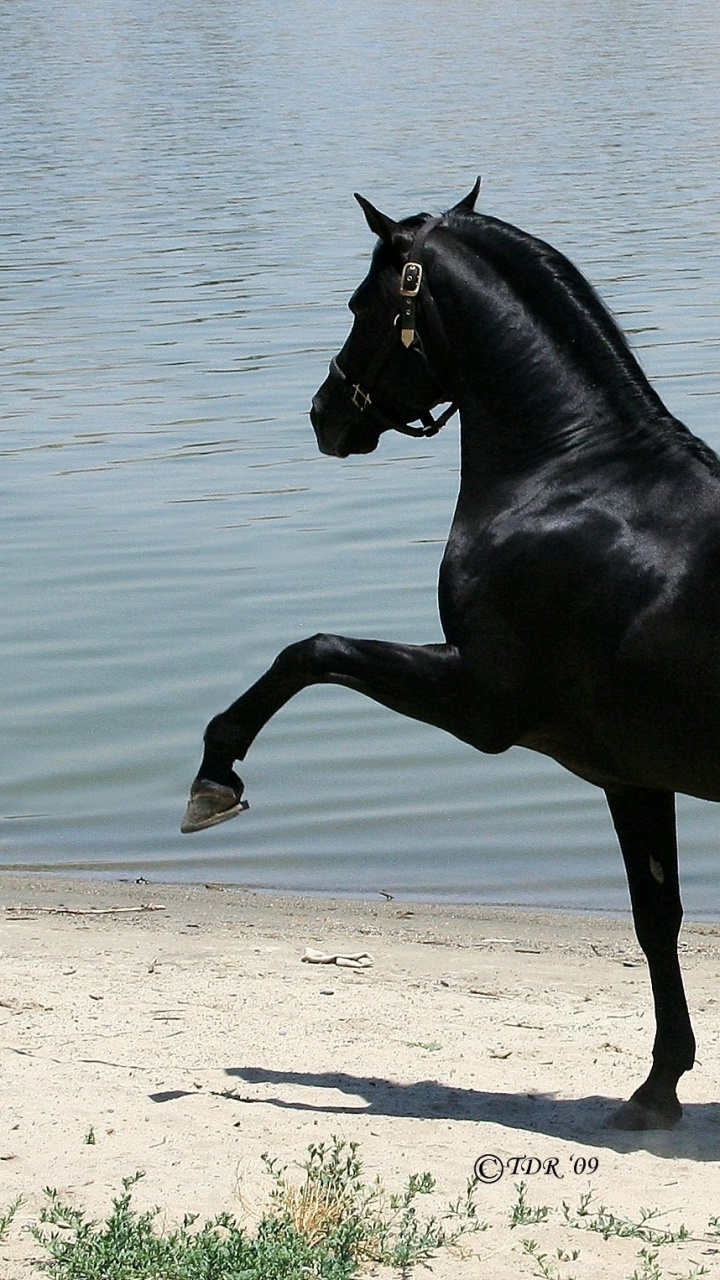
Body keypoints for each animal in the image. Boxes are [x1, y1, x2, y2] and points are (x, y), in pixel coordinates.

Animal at [182, 180, 720, 1131]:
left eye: (360, 304)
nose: (324, 414)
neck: (578, 479)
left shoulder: (480, 701)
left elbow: (309, 651)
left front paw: (216, 776)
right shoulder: (631, 775)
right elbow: (656, 916)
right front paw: (658, 1086)